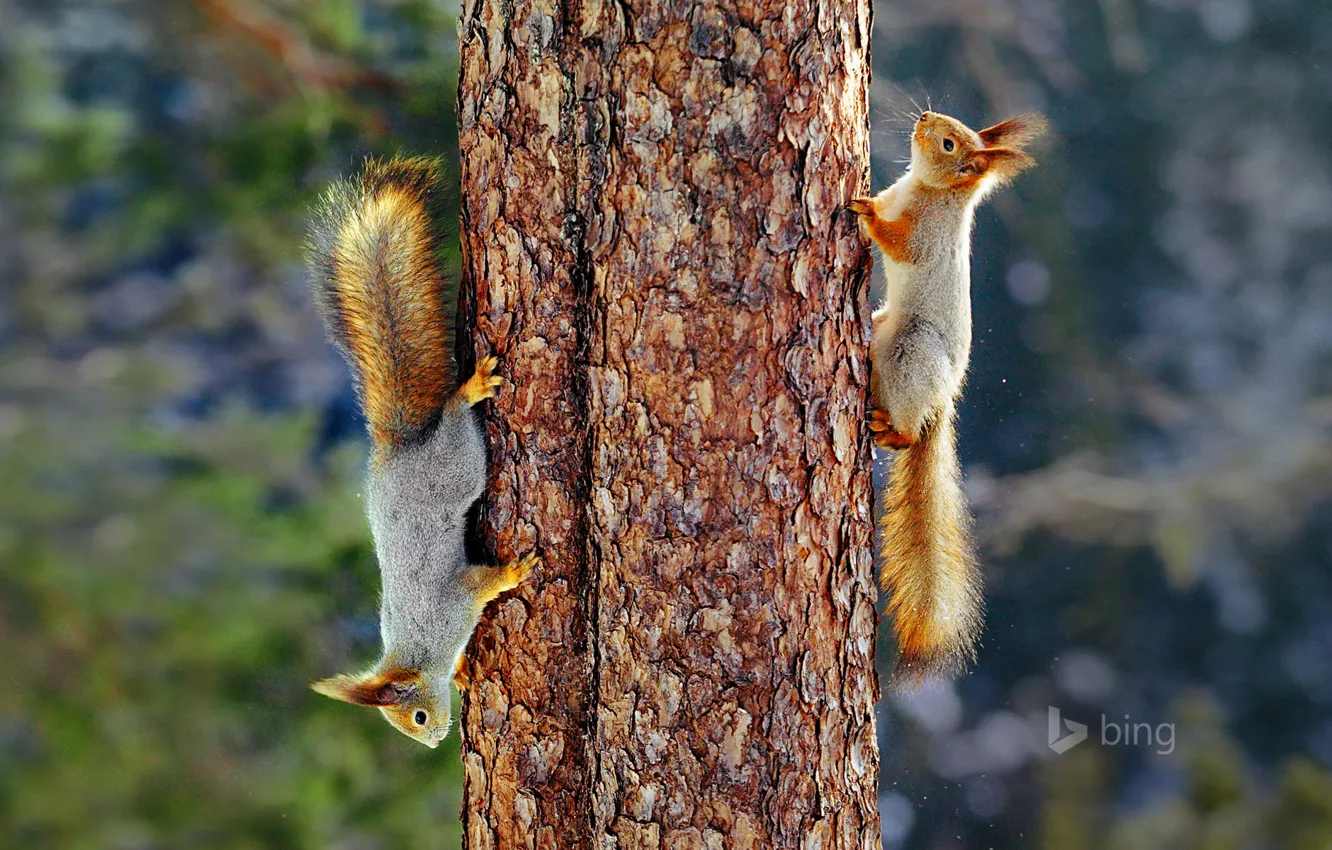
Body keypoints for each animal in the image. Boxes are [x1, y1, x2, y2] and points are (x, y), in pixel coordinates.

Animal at [305, 155, 536, 748]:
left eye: (417, 718)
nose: (433, 742)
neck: (419, 650)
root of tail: (403, 449)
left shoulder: (452, 604)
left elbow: (482, 584)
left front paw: (513, 572)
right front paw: (463, 671)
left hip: (457, 464)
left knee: (455, 416)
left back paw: (470, 390)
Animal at [847, 110, 1046, 680]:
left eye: (950, 143)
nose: (923, 117)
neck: (927, 190)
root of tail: (942, 401)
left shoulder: (925, 240)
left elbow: (897, 243)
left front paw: (865, 211)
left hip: (914, 353)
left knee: (907, 434)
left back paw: (891, 429)